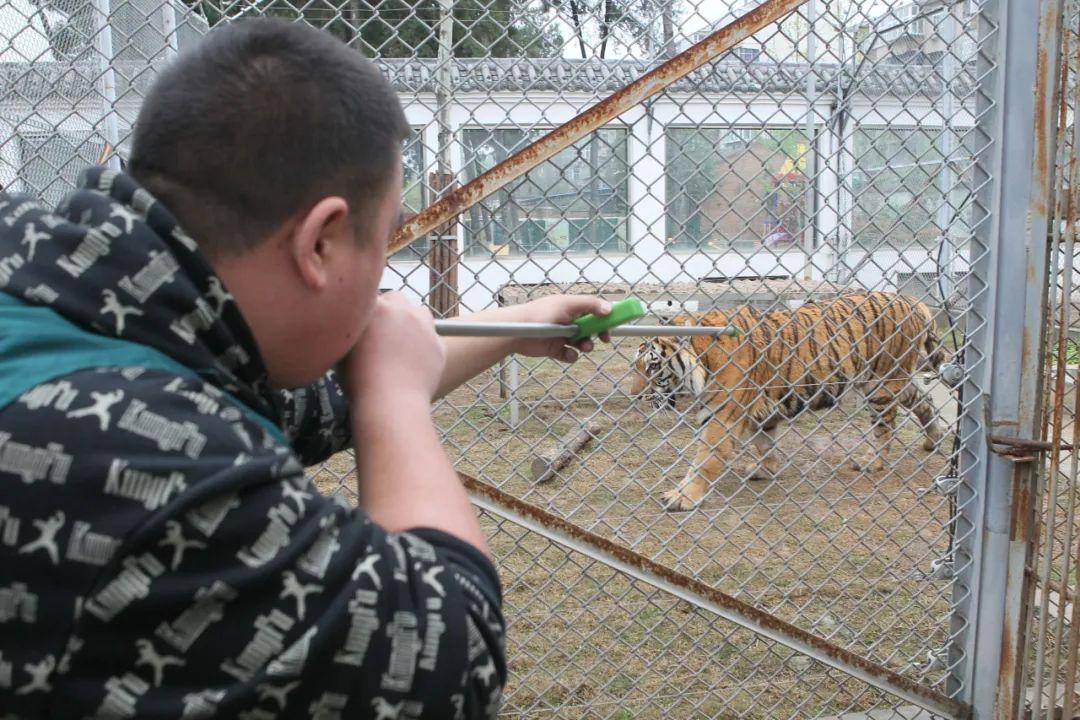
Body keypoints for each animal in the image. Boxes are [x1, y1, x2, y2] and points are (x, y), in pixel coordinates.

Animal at [630, 289, 950, 509]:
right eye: (635, 365)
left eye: (653, 366)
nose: (635, 396)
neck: (703, 360)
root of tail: (913, 300)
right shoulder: (758, 411)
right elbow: (765, 442)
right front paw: (764, 469)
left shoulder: (723, 415)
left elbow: (705, 460)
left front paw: (683, 496)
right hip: (892, 379)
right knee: (922, 401)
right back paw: (932, 439)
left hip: (880, 383)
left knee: (886, 427)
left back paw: (873, 462)